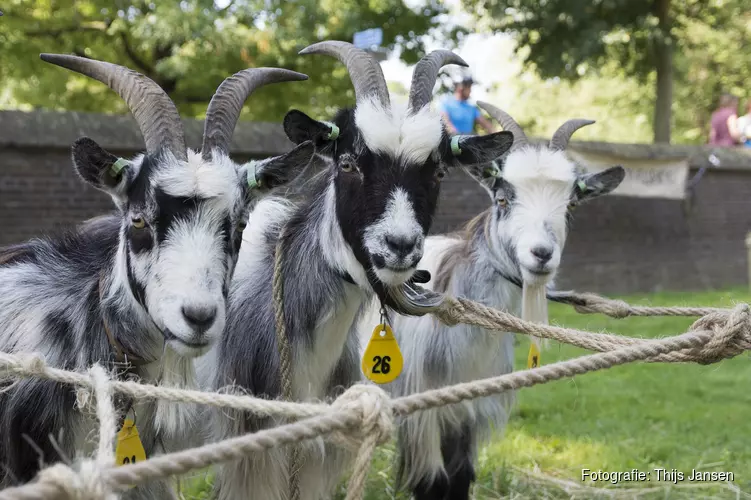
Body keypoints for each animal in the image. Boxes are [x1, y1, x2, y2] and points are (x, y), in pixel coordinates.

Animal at [362, 100, 624, 500]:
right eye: (502, 198)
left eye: (570, 206)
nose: (541, 254)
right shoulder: (421, 411)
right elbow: (433, 483)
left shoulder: (468, 408)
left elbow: (460, 477)